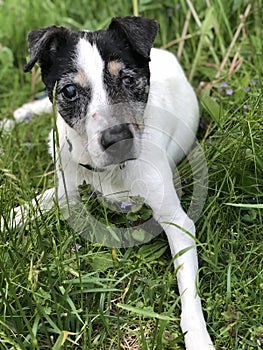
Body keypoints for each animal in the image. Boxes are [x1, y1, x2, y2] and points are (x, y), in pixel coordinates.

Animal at [7, 15, 217, 348]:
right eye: (69, 91)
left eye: (128, 80)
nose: (118, 139)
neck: (108, 171)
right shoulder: (66, 189)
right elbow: (30, 206)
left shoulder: (178, 222)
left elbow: (189, 291)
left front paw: (198, 337)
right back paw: (17, 115)